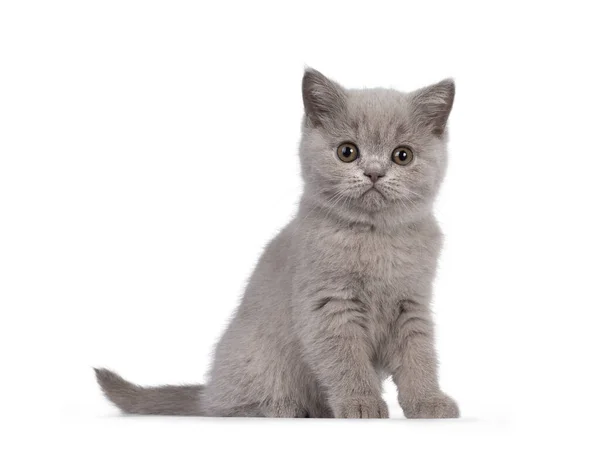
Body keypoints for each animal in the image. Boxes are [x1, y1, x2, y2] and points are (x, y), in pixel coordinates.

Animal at [95, 68, 460, 418]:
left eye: (402, 156)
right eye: (347, 152)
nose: (373, 172)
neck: (375, 237)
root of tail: (206, 391)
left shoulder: (411, 306)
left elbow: (419, 358)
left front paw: (429, 402)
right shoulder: (329, 307)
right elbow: (347, 362)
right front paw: (361, 403)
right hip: (256, 362)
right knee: (229, 405)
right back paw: (284, 407)